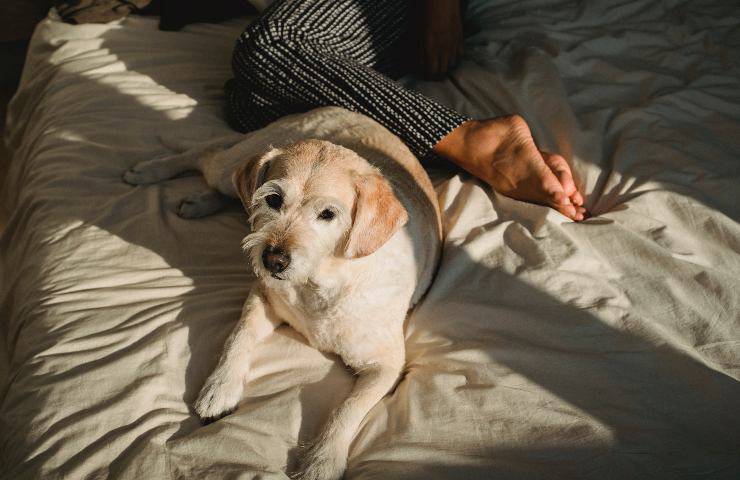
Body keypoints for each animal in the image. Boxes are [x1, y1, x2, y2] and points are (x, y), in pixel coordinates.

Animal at [124, 108, 442, 480]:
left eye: (328, 214)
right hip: (232, 164)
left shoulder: (387, 366)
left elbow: (348, 407)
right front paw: (221, 387)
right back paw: (151, 171)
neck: (320, 283)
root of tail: (334, 108)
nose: (272, 260)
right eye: (274, 200)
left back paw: (199, 201)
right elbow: (238, 338)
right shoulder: (262, 297)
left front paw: (323, 458)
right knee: (207, 156)